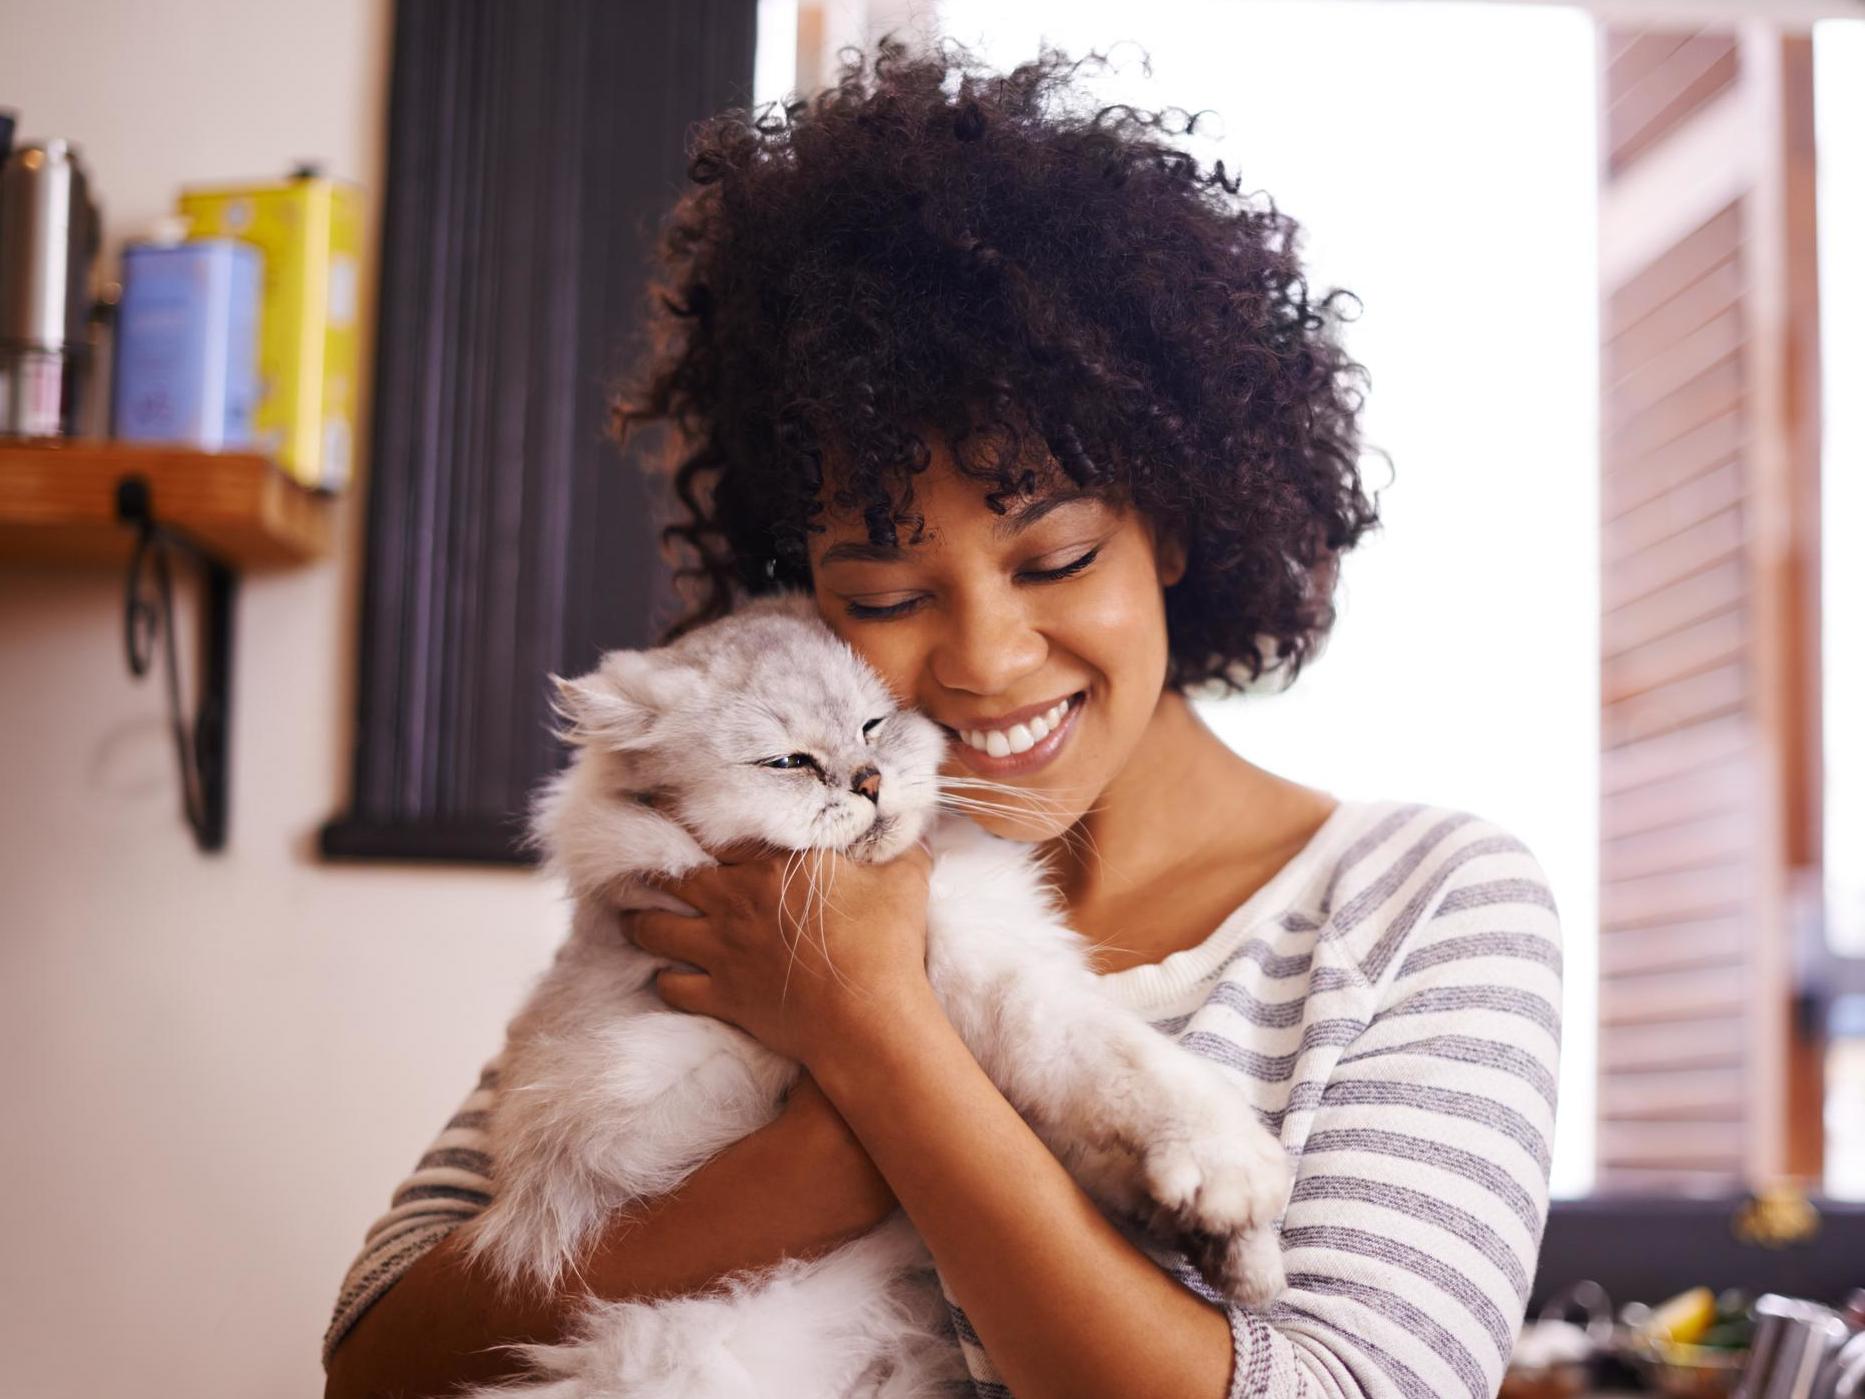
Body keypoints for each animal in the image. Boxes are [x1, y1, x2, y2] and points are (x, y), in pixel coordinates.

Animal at [458, 593, 1290, 1399]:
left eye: (872, 725)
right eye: (788, 762)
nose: (868, 782)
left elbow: (1105, 1123)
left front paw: (1228, 1244)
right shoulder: (976, 985)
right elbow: (1119, 1071)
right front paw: (1227, 1180)